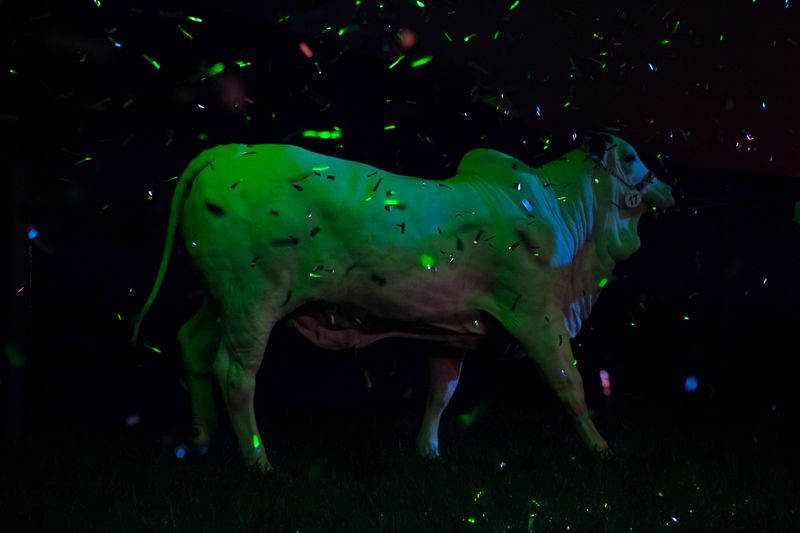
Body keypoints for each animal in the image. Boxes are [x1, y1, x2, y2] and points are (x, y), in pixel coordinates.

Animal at [132, 132, 674, 471]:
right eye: (629, 157)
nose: (668, 189)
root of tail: (227, 152)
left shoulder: (453, 331)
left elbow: (441, 392)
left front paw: (427, 453)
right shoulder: (539, 317)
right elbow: (571, 386)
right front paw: (601, 449)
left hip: (219, 298)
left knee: (192, 342)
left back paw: (202, 440)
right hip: (252, 302)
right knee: (235, 372)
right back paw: (259, 461)